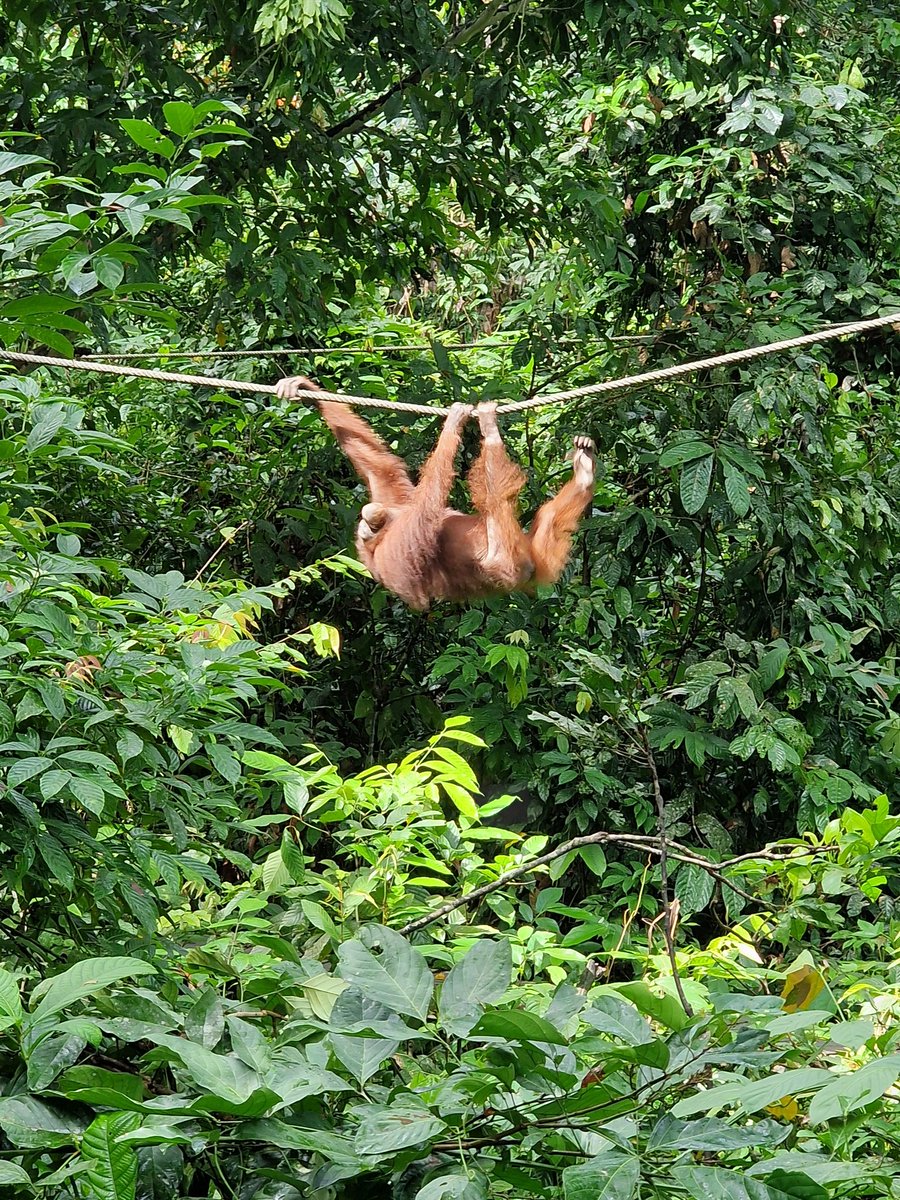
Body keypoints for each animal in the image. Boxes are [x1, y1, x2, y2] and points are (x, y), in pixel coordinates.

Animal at [275, 376, 596, 610]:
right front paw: (453, 424)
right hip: (509, 564)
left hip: (536, 551)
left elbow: (377, 465)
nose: (368, 518)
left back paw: (584, 474)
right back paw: (490, 433)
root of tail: (528, 574)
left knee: (550, 518)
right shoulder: (391, 558)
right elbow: (423, 513)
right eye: (369, 529)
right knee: (496, 508)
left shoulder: (391, 501)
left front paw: (302, 387)